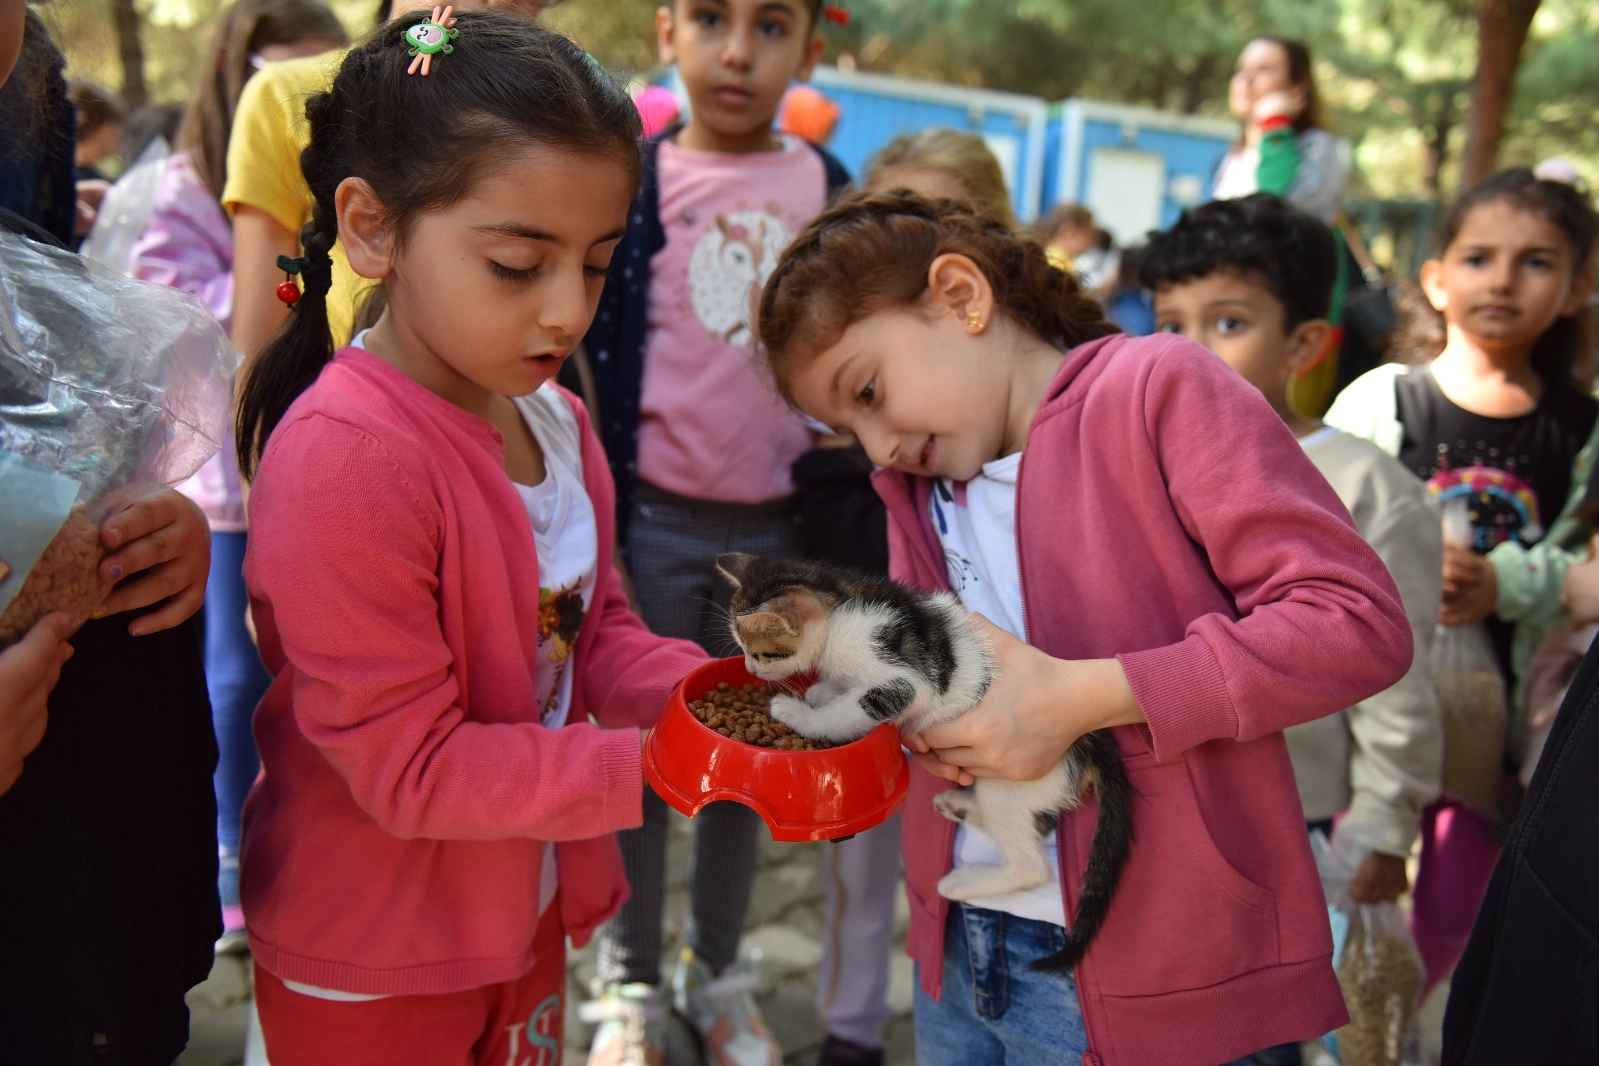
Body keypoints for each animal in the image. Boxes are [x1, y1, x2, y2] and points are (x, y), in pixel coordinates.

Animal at [719, 556, 1132, 971]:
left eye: (760, 653)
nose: (750, 670)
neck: (841, 606)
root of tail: (1092, 741)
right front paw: (823, 692)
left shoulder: (902, 681)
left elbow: (850, 711)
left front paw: (799, 714)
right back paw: (959, 806)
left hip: (1019, 771)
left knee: (1030, 859)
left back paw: (965, 880)